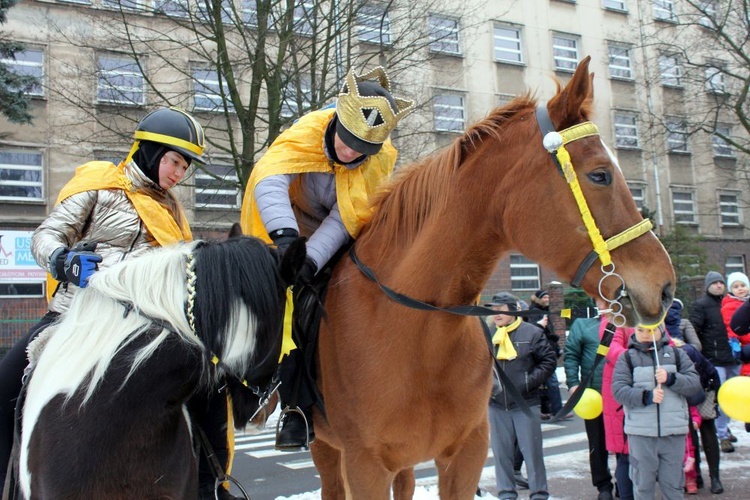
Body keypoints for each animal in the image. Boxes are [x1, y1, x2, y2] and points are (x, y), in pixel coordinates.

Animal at [310, 56, 676, 498]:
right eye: (600, 175)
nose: (665, 286)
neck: (420, 335)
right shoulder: (364, 465)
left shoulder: (465, 456)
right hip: (328, 450)